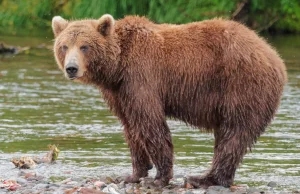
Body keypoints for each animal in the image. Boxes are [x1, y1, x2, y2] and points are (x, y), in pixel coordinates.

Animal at [52, 13, 288, 188]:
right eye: (64, 46)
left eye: (84, 46)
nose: (71, 68)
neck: (117, 67)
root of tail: (275, 56)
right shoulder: (119, 92)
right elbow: (130, 127)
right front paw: (132, 174)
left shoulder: (142, 77)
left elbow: (150, 123)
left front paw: (158, 178)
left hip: (242, 85)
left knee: (233, 133)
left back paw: (204, 178)